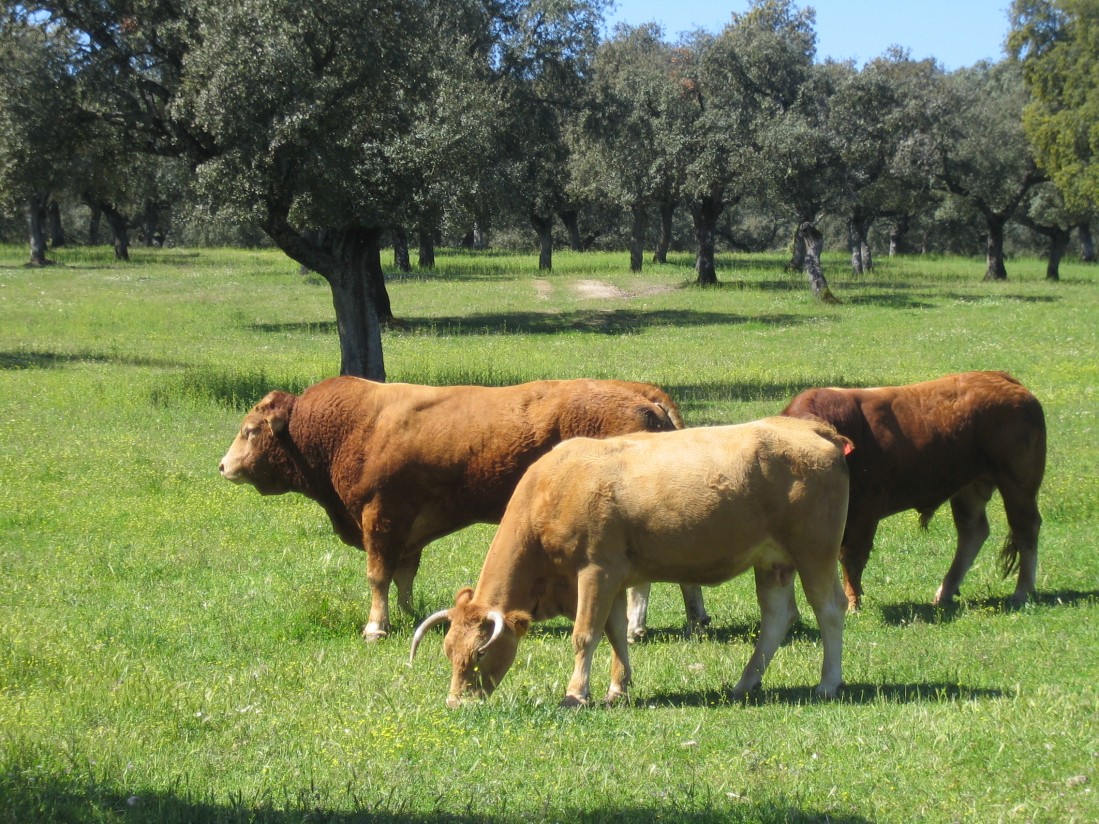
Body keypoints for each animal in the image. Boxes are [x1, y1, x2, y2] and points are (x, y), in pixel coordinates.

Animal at [218, 377, 707, 641]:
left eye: (250, 430)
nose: (223, 465)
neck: (351, 427)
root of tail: (639, 392)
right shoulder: (407, 528)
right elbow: (404, 574)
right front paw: (410, 615)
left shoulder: (381, 517)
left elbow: (378, 575)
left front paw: (377, 626)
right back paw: (694, 620)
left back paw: (640, 628)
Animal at [413, 419, 848, 711]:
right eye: (449, 651)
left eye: (480, 655)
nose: (457, 703)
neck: (552, 490)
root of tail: (810, 428)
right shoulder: (617, 578)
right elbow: (616, 633)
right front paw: (617, 687)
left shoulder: (596, 572)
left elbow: (585, 635)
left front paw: (576, 693)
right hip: (773, 563)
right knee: (777, 617)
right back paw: (745, 683)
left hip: (815, 552)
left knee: (829, 610)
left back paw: (827, 683)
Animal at [782, 371, 1046, 610]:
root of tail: (1002, 378)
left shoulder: (865, 511)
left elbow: (852, 557)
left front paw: (852, 603)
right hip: (968, 487)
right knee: (973, 532)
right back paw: (945, 591)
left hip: (1018, 482)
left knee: (1026, 527)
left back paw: (1022, 591)